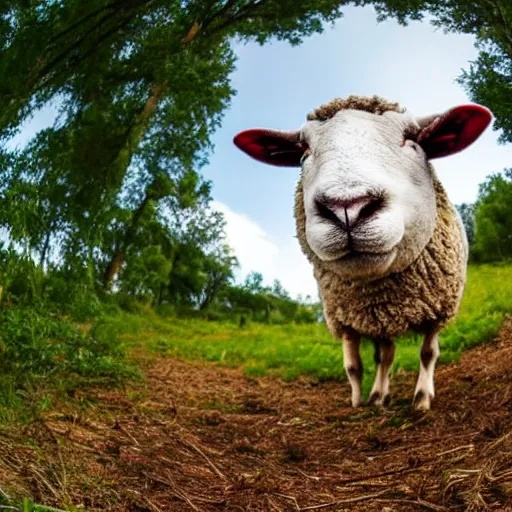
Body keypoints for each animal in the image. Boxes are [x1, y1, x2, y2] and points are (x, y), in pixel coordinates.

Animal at [233, 94, 492, 410]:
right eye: (304, 150)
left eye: (410, 139)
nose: (347, 207)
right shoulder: (344, 319)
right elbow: (354, 365)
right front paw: (358, 402)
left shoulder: (438, 309)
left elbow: (428, 353)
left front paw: (421, 399)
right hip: (379, 320)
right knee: (385, 354)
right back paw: (378, 396)